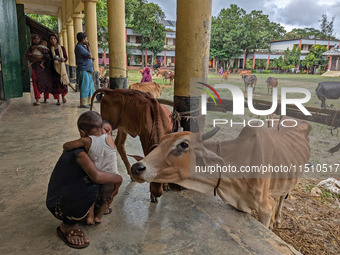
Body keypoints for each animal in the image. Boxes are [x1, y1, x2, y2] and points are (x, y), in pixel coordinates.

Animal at [131, 120, 312, 229]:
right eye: (161, 141)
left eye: (183, 144)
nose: (136, 168)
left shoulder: (265, 207)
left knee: (283, 197)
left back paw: (278, 219)